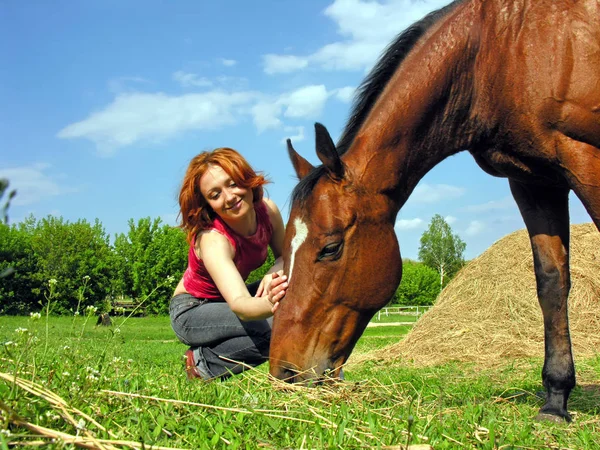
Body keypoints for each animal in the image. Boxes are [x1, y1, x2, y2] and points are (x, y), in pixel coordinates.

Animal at [272, 0, 600, 422]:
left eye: (330, 248)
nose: (283, 371)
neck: (496, 50)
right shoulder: (534, 181)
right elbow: (552, 283)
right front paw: (556, 400)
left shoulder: (583, 155)